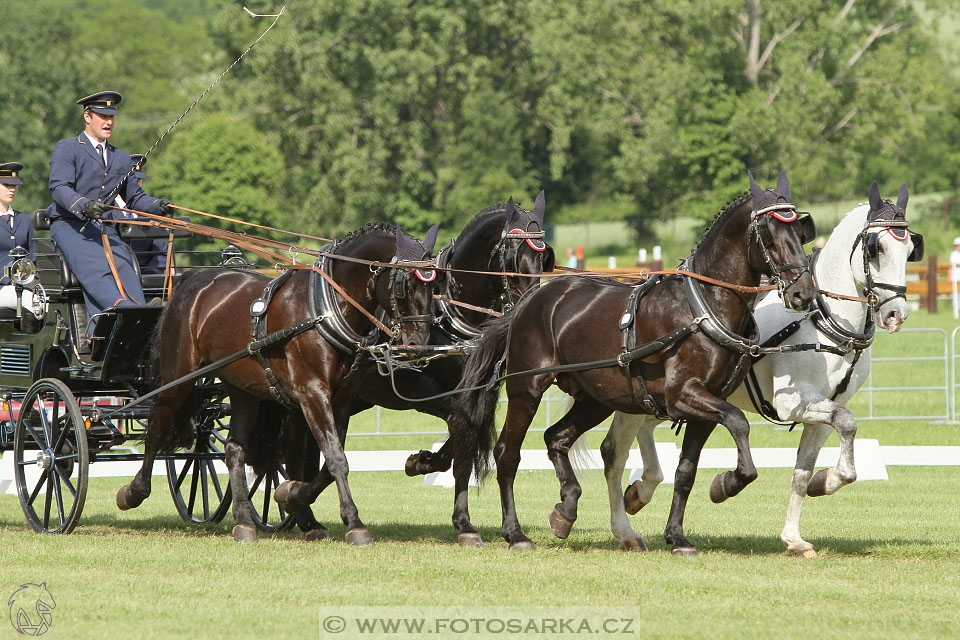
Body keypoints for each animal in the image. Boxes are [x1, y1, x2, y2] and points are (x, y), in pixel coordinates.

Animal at [115, 222, 438, 544]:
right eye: (403, 283)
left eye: (434, 285)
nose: (418, 344)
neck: (325, 309)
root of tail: (192, 279)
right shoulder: (312, 393)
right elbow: (335, 458)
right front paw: (354, 524)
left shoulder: (342, 398)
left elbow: (326, 462)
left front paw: (292, 494)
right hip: (177, 377)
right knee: (157, 429)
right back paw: (133, 492)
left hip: (243, 390)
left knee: (234, 449)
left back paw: (244, 522)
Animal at [270, 191, 556, 544]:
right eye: (514, 255)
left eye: (545, 258)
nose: (530, 306)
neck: (446, 317)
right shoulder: (411, 389)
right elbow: (459, 428)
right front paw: (424, 467)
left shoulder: (474, 393)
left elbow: (464, 442)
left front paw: (461, 518)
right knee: (297, 453)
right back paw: (301, 512)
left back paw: (305, 513)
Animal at [452, 170, 816, 552]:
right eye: (769, 235)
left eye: (799, 231)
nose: (802, 292)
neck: (702, 307)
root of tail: (527, 302)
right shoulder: (683, 395)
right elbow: (739, 423)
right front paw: (726, 484)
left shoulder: (706, 407)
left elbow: (686, 472)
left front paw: (677, 536)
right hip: (527, 388)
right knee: (507, 453)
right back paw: (515, 532)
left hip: (595, 398)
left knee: (556, 438)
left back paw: (566, 509)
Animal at [600, 180, 924, 556]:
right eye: (876, 248)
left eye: (910, 249)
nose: (895, 314)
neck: (823, 318)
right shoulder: (793, 404)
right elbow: (846, 423)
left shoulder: (824, 410)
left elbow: (806, 470)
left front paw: (798, 529)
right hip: (638, 397)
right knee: (614, 452)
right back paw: (625, 527)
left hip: (668, 397)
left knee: (645, 433)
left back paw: (641, 489)